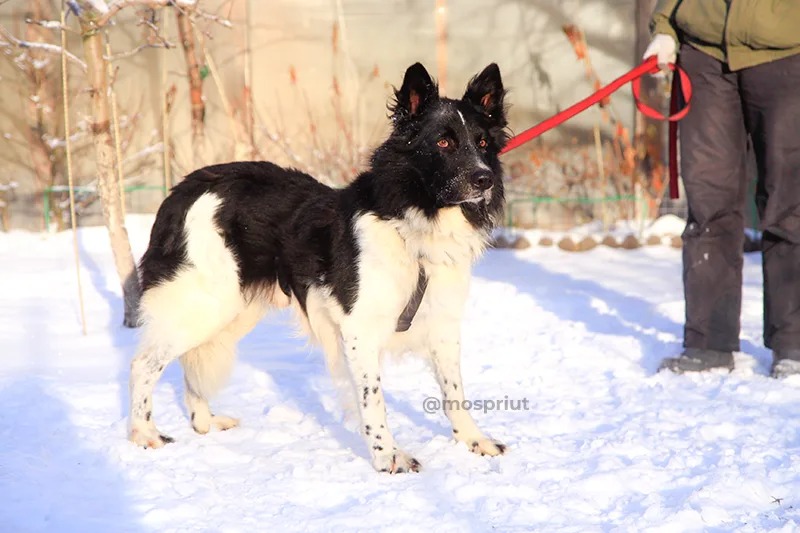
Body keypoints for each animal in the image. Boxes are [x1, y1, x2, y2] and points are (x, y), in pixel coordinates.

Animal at [129, 62, 510, 474]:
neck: (411, 224)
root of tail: (185, 187)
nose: (484, 179)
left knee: (189, 359)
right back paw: (143, 434)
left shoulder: (442, 325)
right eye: (443, 144)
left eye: (483, 144)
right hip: (206, 303)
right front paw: (387, 457)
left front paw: (473, 441)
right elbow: (374, 401)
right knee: (142, 364)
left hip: (233, 309)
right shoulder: (360, 329)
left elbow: (454, 391)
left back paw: (203, 422)